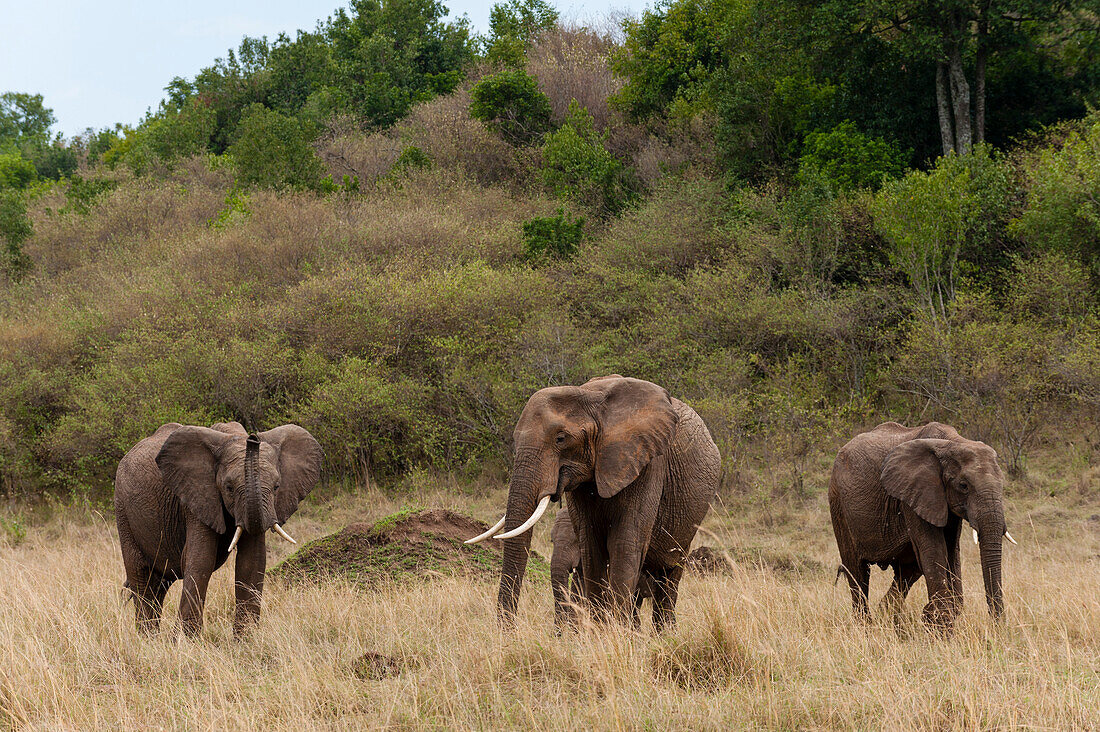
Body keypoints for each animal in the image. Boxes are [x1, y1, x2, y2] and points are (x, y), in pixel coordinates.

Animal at [115, 420, 321, 638]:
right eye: (228, 487)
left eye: (276, 487)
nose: (253, 439)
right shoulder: (197, 497)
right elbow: (201, 559)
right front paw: (185, 641)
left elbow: (252, 560)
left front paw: (246, 640)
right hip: (123, 509)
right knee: (141, 575)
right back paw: (147, 638)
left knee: (159, 584)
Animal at [466, 374, 717, 629]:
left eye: (561, 438)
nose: (509, 632)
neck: (591, 397)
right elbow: (591, 545)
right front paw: (601, 631)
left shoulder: (648, 460)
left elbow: (626, 542)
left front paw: (617, 633)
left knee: (669, 580)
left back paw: (664, 633)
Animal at [827, 420, 1012, 629]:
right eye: (963, 486)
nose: (998, 627)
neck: (954, 442)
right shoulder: (913, 494)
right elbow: (934, 549)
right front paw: (937, 623)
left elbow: (950, 551)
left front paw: (935, 617)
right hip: (838, 505)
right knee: (857, 572)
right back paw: (866, 627)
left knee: (908, 571)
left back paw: (888, 616)